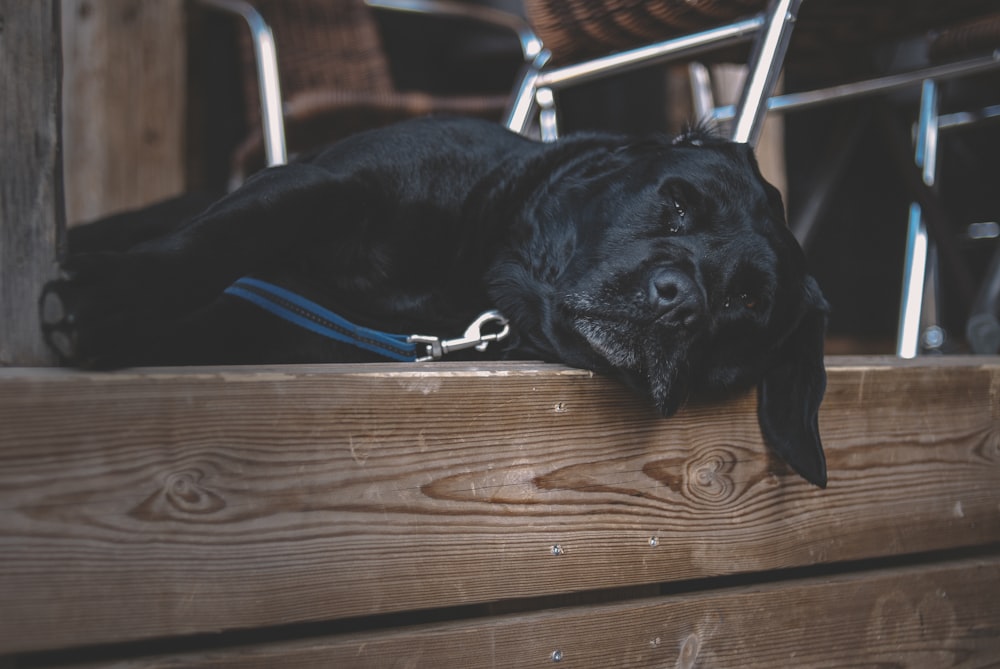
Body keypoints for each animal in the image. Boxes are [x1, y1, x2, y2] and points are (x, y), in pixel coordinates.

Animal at [41, 117, 828, 486]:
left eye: (745, 301)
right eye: (677, 203)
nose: (678, 300)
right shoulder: (317, 182)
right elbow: (229, 235)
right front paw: (113, 297)